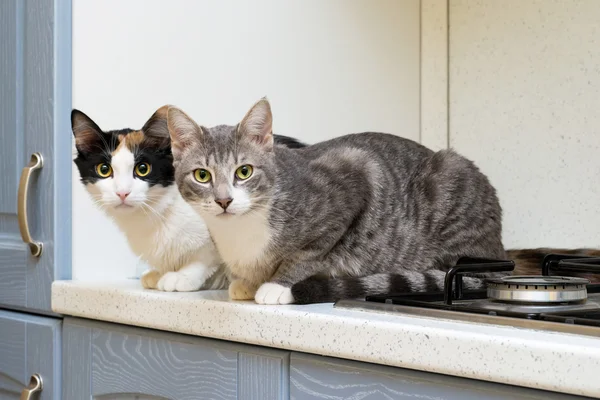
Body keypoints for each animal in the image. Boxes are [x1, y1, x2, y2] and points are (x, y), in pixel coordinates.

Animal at [70, 104, 304, 292]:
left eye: (143, 169)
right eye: (104, 169)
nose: (122, 192)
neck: (154, 214)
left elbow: (207, 258)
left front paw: (182, 276)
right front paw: (158, 272)